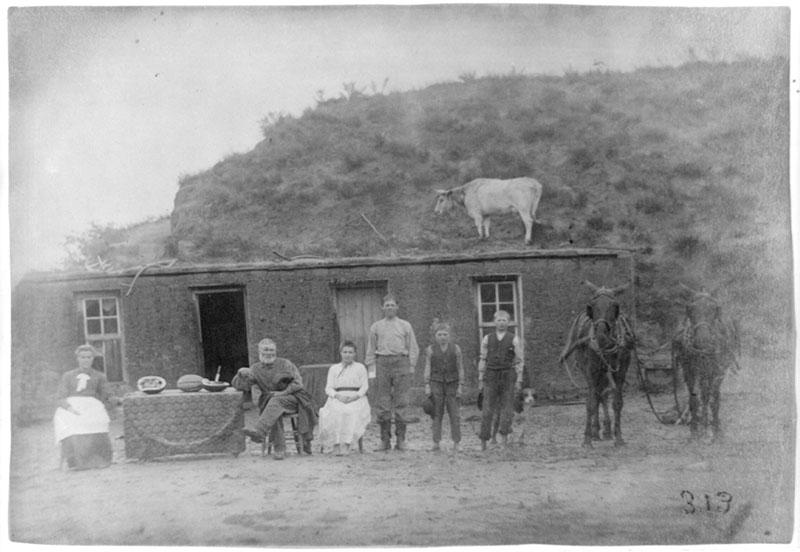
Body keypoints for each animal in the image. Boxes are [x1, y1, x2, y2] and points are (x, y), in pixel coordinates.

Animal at [560, 280, 636, 448]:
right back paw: (596, 432)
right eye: (591, 306)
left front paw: (618, 437)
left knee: (603, 395)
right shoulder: (591, 371)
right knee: (596, 396)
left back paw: (607, 431)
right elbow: (591, 402)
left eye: (615, 306)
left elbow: (617, 402)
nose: (601, 336)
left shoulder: (621, 371)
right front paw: (587, 439)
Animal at [676, 286, 736, 442]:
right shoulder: (689, 371)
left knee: (709, 395)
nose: (702, 340)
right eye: (690, 308)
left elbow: (714, 399)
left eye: (714, 308)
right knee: (703, 395)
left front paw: (715, 431)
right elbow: (694, 399)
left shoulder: (717, 372)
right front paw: (695, 432)